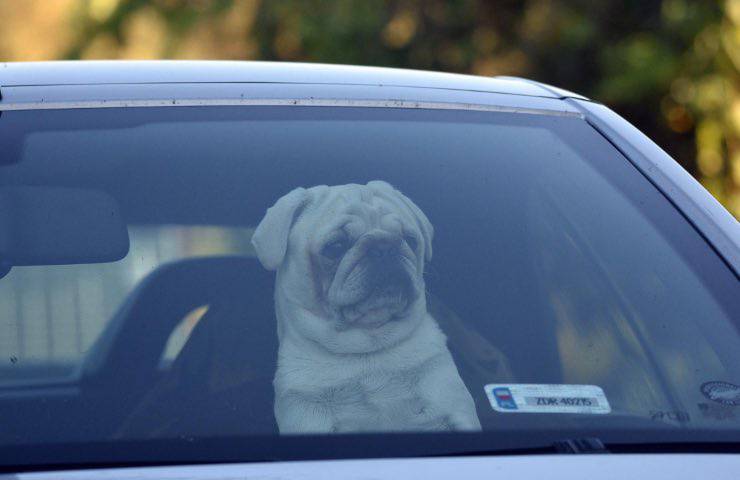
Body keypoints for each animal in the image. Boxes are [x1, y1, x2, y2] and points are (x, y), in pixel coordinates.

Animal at [253, 181, 480, 436]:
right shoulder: (308, 415)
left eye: (411, 240)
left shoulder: (451, 405)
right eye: (335, 247)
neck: (368, 346)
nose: (384, 246)